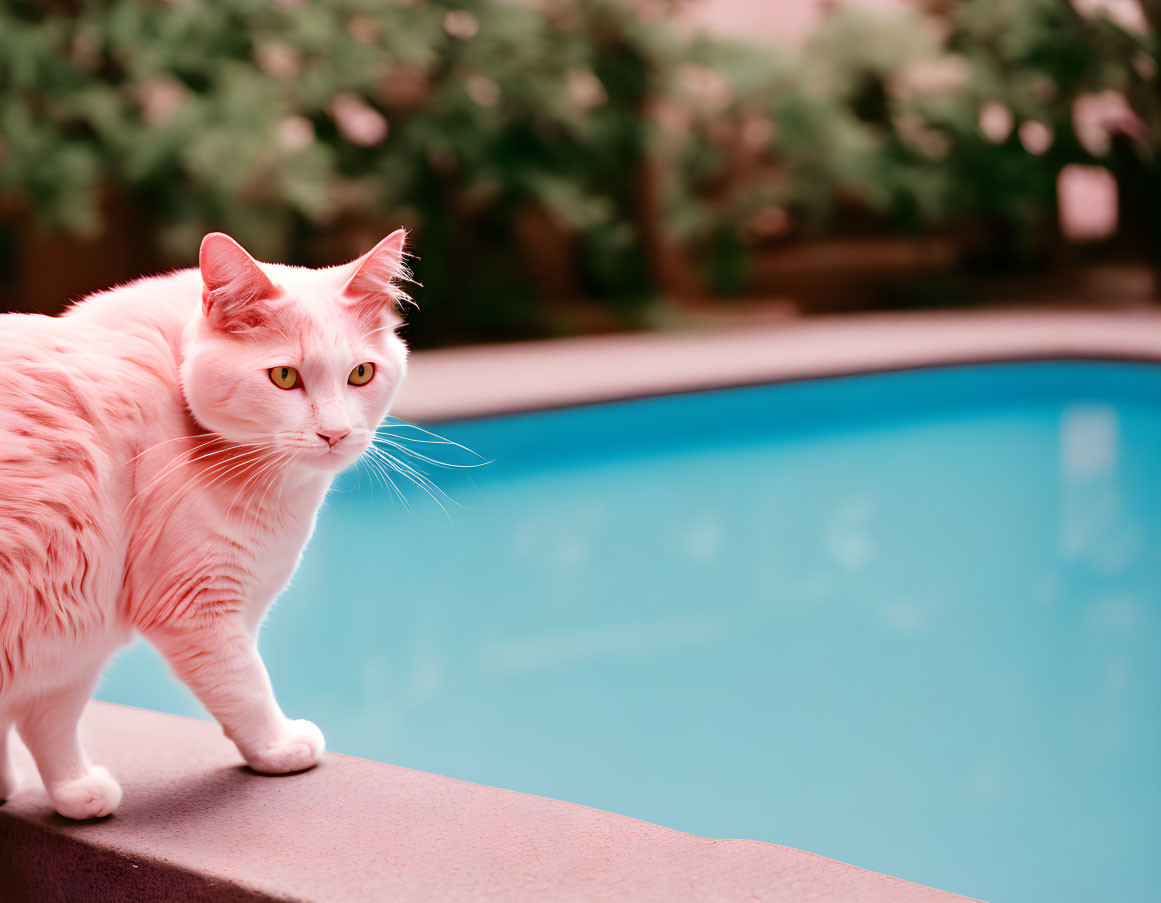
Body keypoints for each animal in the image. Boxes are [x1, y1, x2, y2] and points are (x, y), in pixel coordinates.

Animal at [0, 230, 410, 817]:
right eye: (284, 376)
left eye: (361, 374)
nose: (335, 433)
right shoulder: (186, 607)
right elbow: (245, 686)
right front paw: (279, 748)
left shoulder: (72, 630)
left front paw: (35, 787)